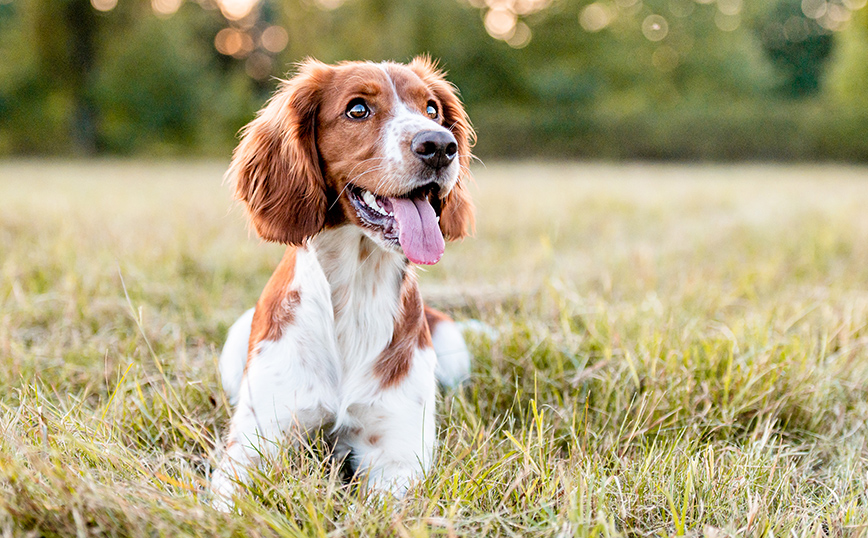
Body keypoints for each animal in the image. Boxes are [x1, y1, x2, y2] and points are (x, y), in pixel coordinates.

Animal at [214, 58, 478, 506]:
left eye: (431, 109)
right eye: (357, 109)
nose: (441, 146)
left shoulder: (397, 457)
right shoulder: (252, 446)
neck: (355, 291)